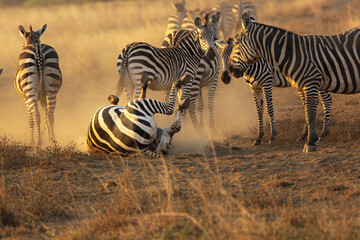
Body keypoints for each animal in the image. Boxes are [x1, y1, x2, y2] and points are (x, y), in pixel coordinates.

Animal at [228, 11, 360, 152]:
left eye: (236, 43)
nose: (230, 70)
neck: (292, 53)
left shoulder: (274, 82)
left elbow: (301, 111)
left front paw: (307, 142)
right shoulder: (257, 87)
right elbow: (260, 111)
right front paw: (259, 138)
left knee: (327, 100)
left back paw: (322, 134)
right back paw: (316, 134)